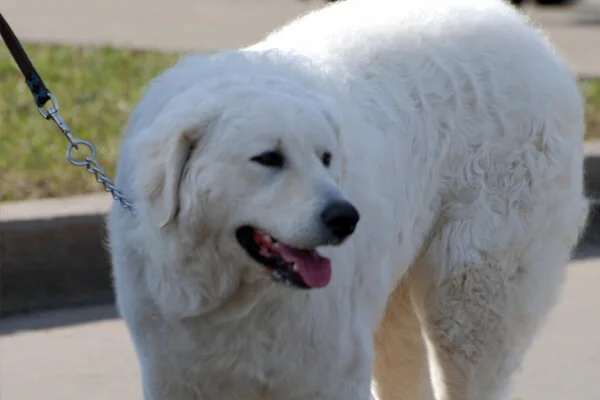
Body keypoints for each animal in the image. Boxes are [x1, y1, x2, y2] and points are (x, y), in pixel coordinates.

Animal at [105, 0, 588, 400]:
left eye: (326, 158)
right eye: (268, 158)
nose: (345, 218)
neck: (237, 296)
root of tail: (524, 31)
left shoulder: (327, 373)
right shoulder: (175, 373)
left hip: (474, 294)